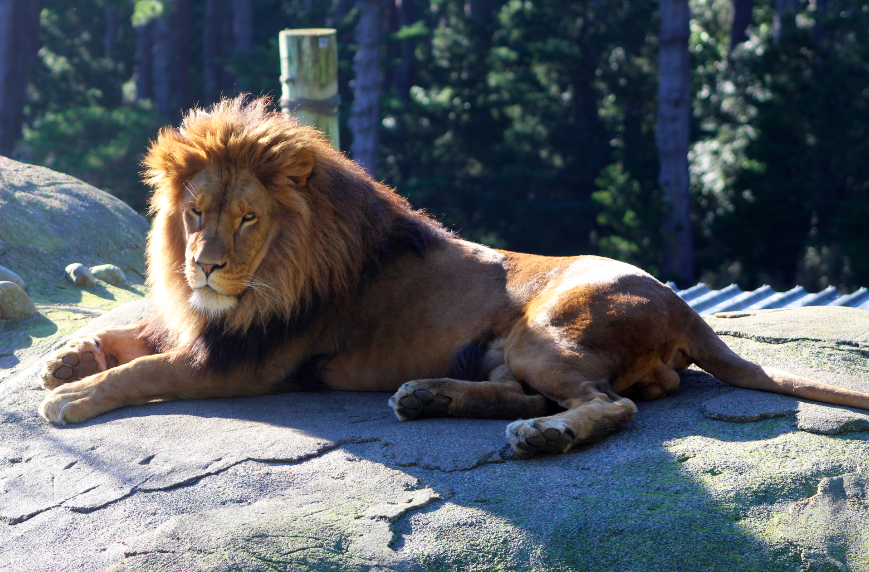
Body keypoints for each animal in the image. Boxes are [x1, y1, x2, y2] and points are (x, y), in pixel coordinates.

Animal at [38, 96, 869, 455]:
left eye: (247, 219)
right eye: (195, 213)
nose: (204, 264)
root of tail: (683, 305)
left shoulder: (244, 361)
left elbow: (145, 369)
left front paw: (73, 396)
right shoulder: (211, 320)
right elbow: (135, 332)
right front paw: (66, 359)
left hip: (546, 331)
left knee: (611, 406)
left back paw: (538, 437)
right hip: (514, 350)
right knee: (547, 392)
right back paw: (427, 397)